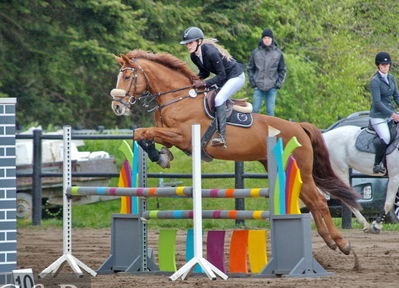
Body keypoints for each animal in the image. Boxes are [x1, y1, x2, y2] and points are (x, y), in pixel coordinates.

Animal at [110, 50, 362, 256]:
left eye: (128, 77)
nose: (117, 107)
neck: (177, 99)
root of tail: (299, 127)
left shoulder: (183, 136)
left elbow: (145, 132)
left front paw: (159, 156)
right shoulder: (170, 134)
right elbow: (142, 134)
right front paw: (161, 156)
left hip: (301, 168)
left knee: (318, 201)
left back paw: (342, 243)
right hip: (283, 168)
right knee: (311, 200)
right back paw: (329, 241)